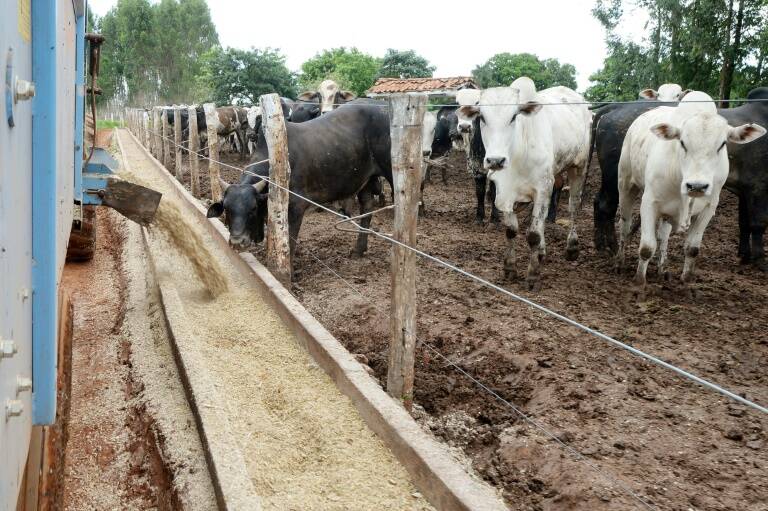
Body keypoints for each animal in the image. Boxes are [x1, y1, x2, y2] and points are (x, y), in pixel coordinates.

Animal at [207, 101, 392, 260]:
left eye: (252, 208)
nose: (237, 242)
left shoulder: (295, 207)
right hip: (366, 180)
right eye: (227, 209)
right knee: (367, 208)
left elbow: (289, 243)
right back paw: (358, 250)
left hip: (390, 172)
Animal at [460, 77, 592, 288]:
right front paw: (510, 267)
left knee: (573, 207)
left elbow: (533, 235)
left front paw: (533, 275)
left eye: (514, 116)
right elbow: (511, 230)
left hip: (579, 166)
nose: (496, 160)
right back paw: (542, 252)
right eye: (482, 117)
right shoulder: (504, 191)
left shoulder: (543, 188)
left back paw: (572, 247)